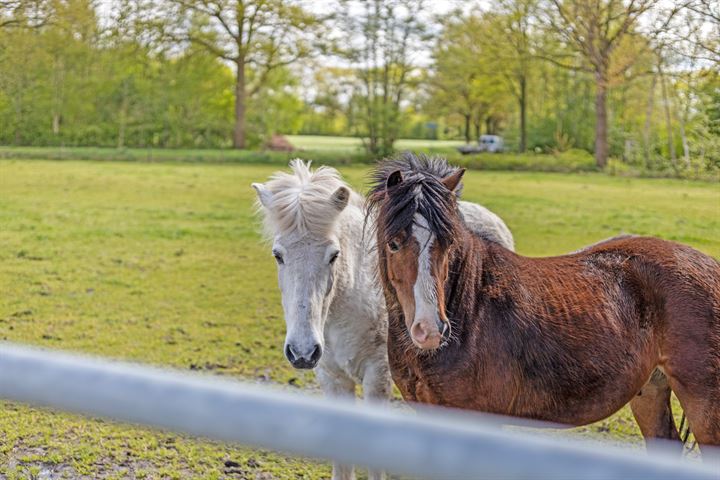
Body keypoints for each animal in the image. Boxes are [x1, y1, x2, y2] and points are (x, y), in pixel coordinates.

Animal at [372, 154, 720, 458]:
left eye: (448, 243)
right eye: (394, 243)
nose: (431, 330)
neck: (471, 309)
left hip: (704, 404)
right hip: (650, 390)